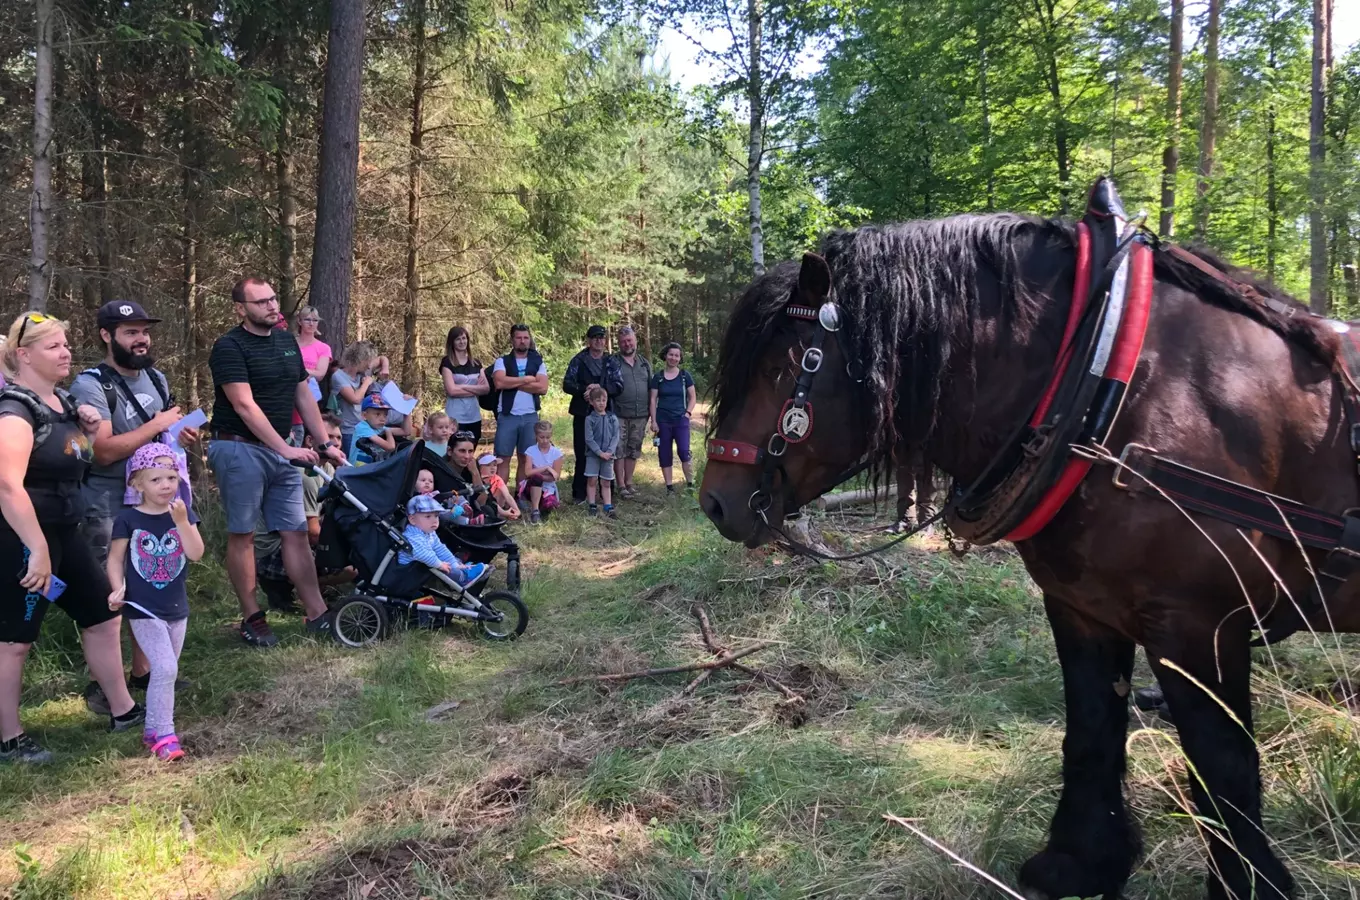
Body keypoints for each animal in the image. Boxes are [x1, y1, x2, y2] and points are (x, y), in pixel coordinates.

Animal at [701, 213, 1360, 900]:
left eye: (782, 368)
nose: (714, 502)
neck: (1109, 389)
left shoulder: (1198, 626)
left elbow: (1224, 766)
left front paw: (1250, 884)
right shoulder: (1084, 608)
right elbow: (1092, 731)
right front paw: (1079, 863)